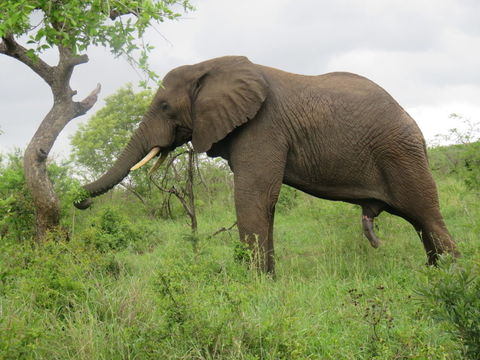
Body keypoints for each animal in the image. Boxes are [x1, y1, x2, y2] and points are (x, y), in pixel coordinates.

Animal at [74, 55, 458, 272]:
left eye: (166, 107)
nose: (79, 202)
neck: (211, 68)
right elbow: (264, 202)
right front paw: (268, 280)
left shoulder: (264, 126)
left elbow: (255, 196)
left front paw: (254, 284)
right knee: (420, 221)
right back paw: (435, 274)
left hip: (400, 152)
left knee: (426, 216)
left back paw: (450, 278)